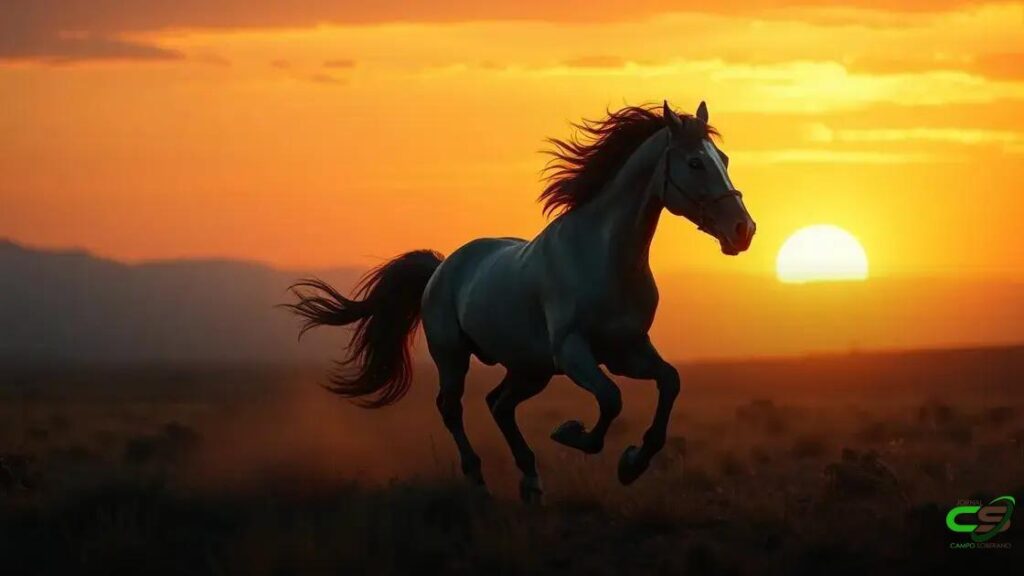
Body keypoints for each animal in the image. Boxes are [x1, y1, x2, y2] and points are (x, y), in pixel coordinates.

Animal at [285, 100, 756, 502]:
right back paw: (479, 481)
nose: (743, 230)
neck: (605, 258)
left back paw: (530, 480)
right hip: (456, 357)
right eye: (695, 162)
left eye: (724, 159)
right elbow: (610, 399)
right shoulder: (573, 352)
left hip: (530, 368)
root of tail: (441, 267)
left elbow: (669, 382)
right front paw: (571, 434)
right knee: (452, 407)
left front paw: (632, 464)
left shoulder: (627, 350)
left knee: (499, 405)